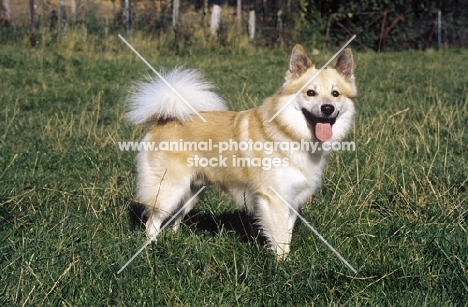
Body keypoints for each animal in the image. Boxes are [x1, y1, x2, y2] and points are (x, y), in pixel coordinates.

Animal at [124, 44, 354, 258]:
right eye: (310, 93)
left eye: (335, 94)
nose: (327, 108)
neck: (289, 133)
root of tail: (164, 119)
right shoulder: (274, 198)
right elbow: (279, 237)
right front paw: (282, 265)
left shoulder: (292, 199)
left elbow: (286, 235)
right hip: (169, 189)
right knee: (152, 222)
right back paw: (152, 249)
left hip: (192, 192)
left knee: (174, 219)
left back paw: (174, 240)